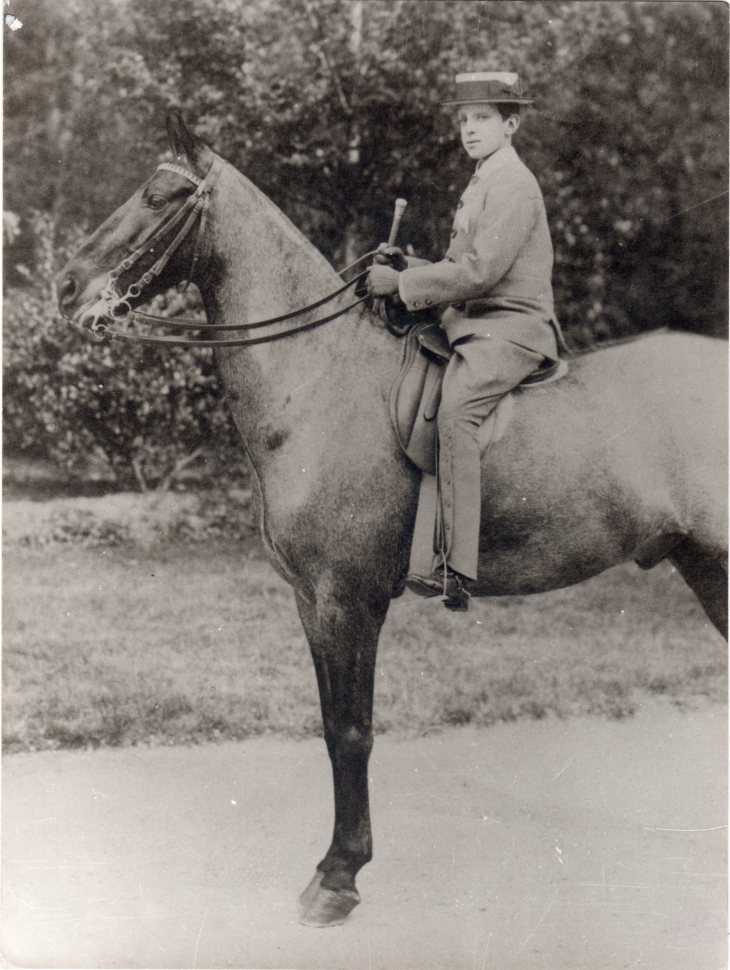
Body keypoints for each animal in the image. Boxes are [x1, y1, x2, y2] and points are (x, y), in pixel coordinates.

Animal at [57, 115, 727, 927]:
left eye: (158, 197)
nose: (65, 287)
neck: (317, 377)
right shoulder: (311, 601)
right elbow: (332, 725)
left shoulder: (346, 599)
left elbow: (352, 733)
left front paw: (338, 878)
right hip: (706, 567)